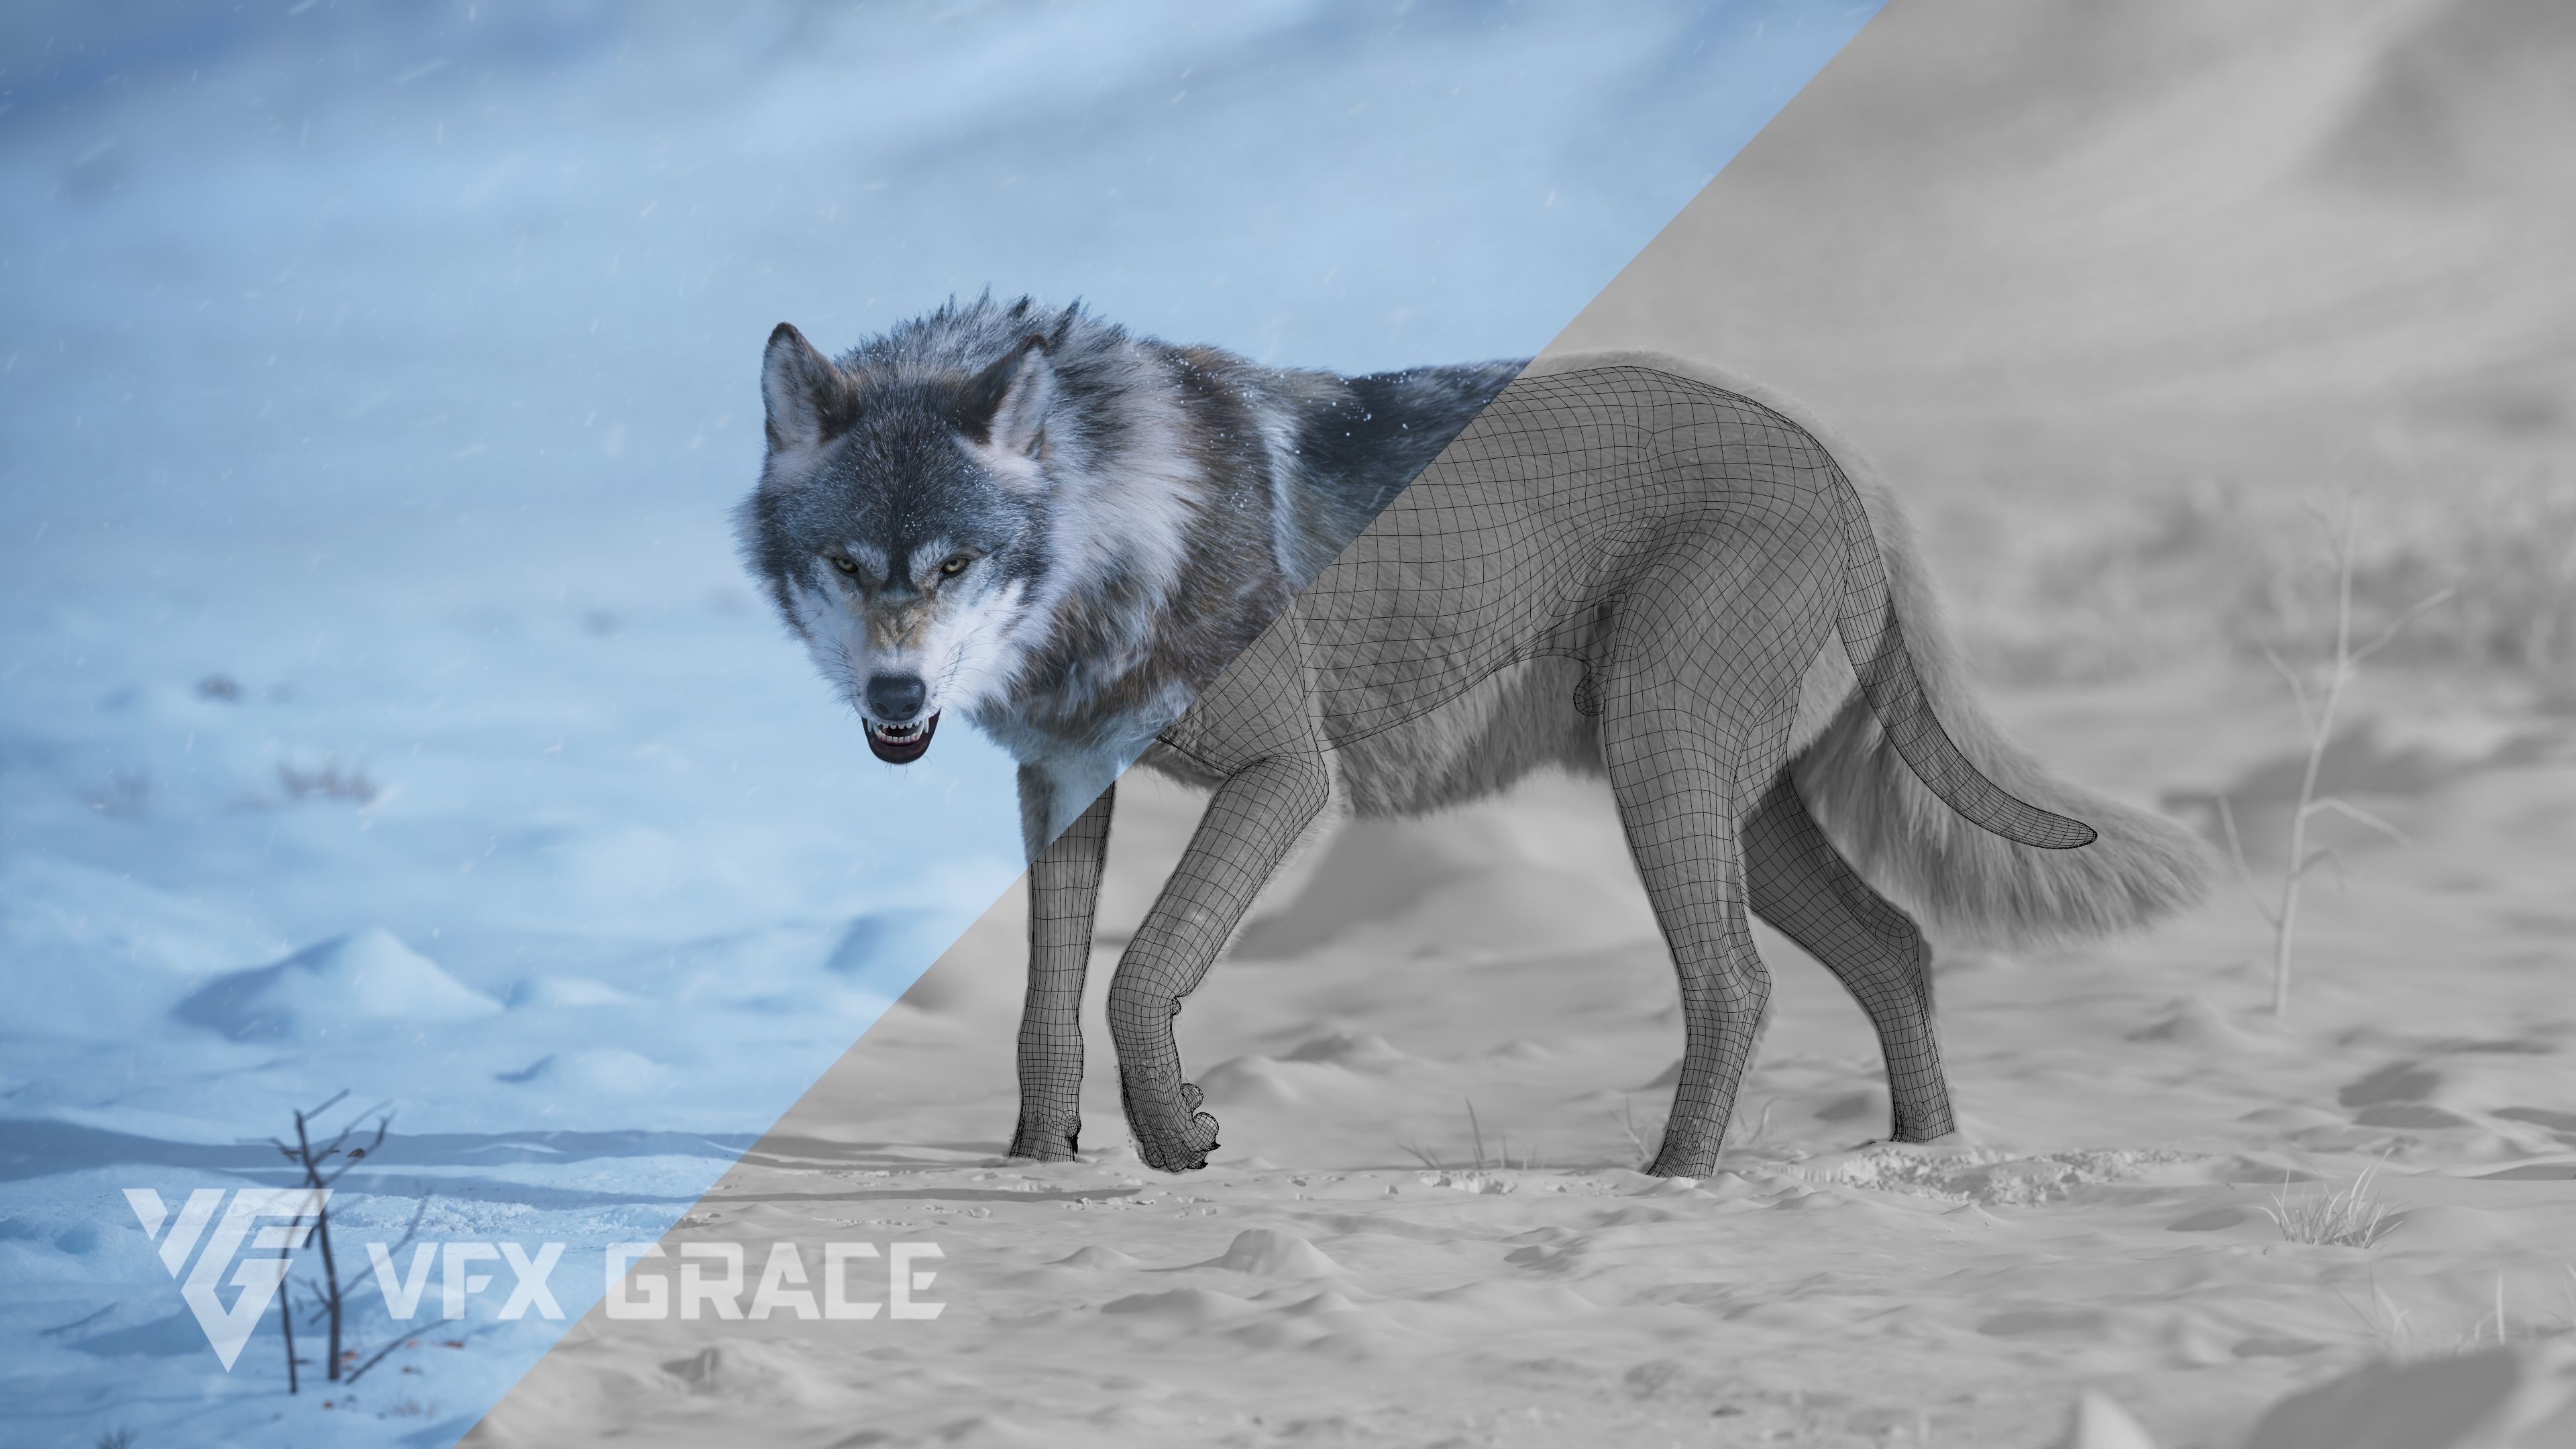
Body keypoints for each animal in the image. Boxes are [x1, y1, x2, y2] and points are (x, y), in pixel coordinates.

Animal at [737, 297, 2209, 1178]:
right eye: (850, 566)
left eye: (954, 565)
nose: (896, 702)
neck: (1126, 537)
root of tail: (1839, 460)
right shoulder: (1061, 785)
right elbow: (1049, 999)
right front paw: (1039, 1166)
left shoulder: (1288, 776)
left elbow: (1138, 975)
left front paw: (1175, 1141)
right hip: (1738, 809)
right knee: (1895, 946)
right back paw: (1921, 1159)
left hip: (1662, 781)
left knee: (1737, 984)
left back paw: (1670, 1188)